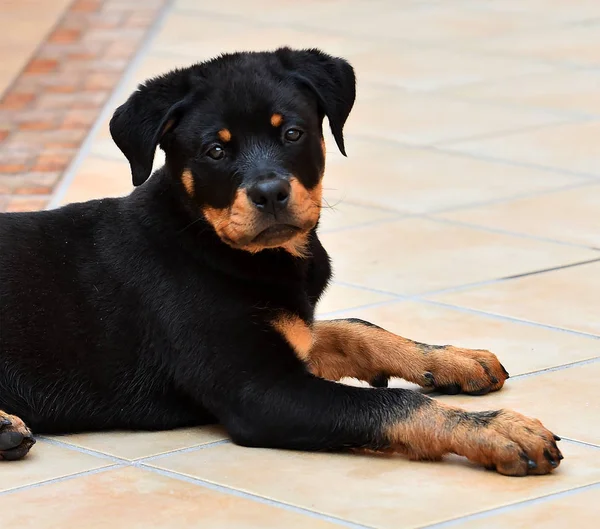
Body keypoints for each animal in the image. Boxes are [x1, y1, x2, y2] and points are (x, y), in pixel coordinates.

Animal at [0, 46, 564, 474]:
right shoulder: (259, 390)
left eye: (292, 133)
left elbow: (355, 328)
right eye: (215, 151)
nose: (270, 193)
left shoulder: (289, 333)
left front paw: (453, 359)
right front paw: (500, 431)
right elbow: (392, 403)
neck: (212, 242)